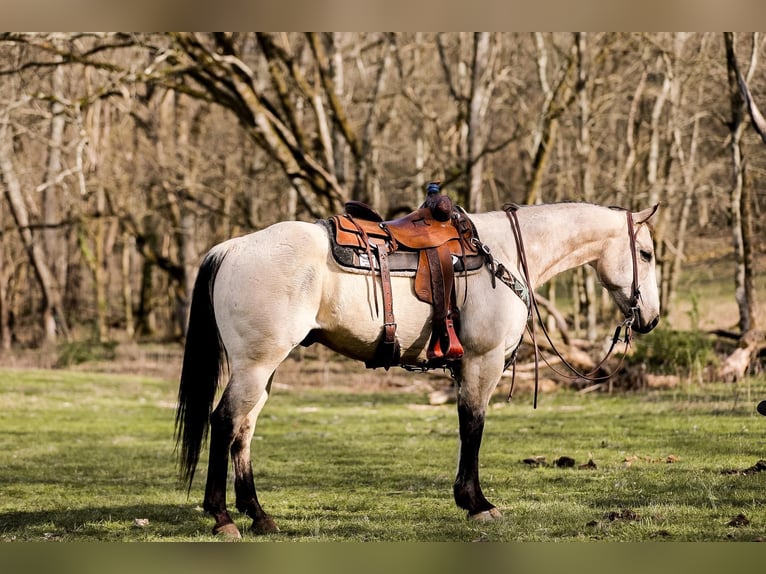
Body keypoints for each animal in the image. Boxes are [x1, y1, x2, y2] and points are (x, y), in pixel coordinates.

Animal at [174, 197, 660, 540]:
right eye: (647, 254)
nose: (651, 319)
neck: (503, 255)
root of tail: (233, 247)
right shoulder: (482, 361)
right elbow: (473, 425)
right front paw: (476, 502)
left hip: (262, 369)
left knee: (244, 429)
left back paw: (258, 515)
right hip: (256, 365)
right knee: (225, 421)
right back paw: (221, 516)